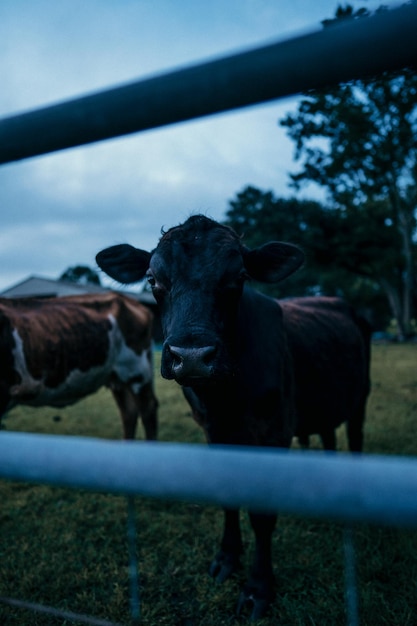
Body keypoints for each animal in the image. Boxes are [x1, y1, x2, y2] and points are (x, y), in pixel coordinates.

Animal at [96, 216, 368, 620]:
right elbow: (227, 496)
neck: (225, 396)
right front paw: (227, 558)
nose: (192, 356)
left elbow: (262, 514)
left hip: (359, 399)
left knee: (356, 439)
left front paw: (258, 587)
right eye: (153, 279)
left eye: (238, 276)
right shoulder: (214, 429)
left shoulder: (273, 432)